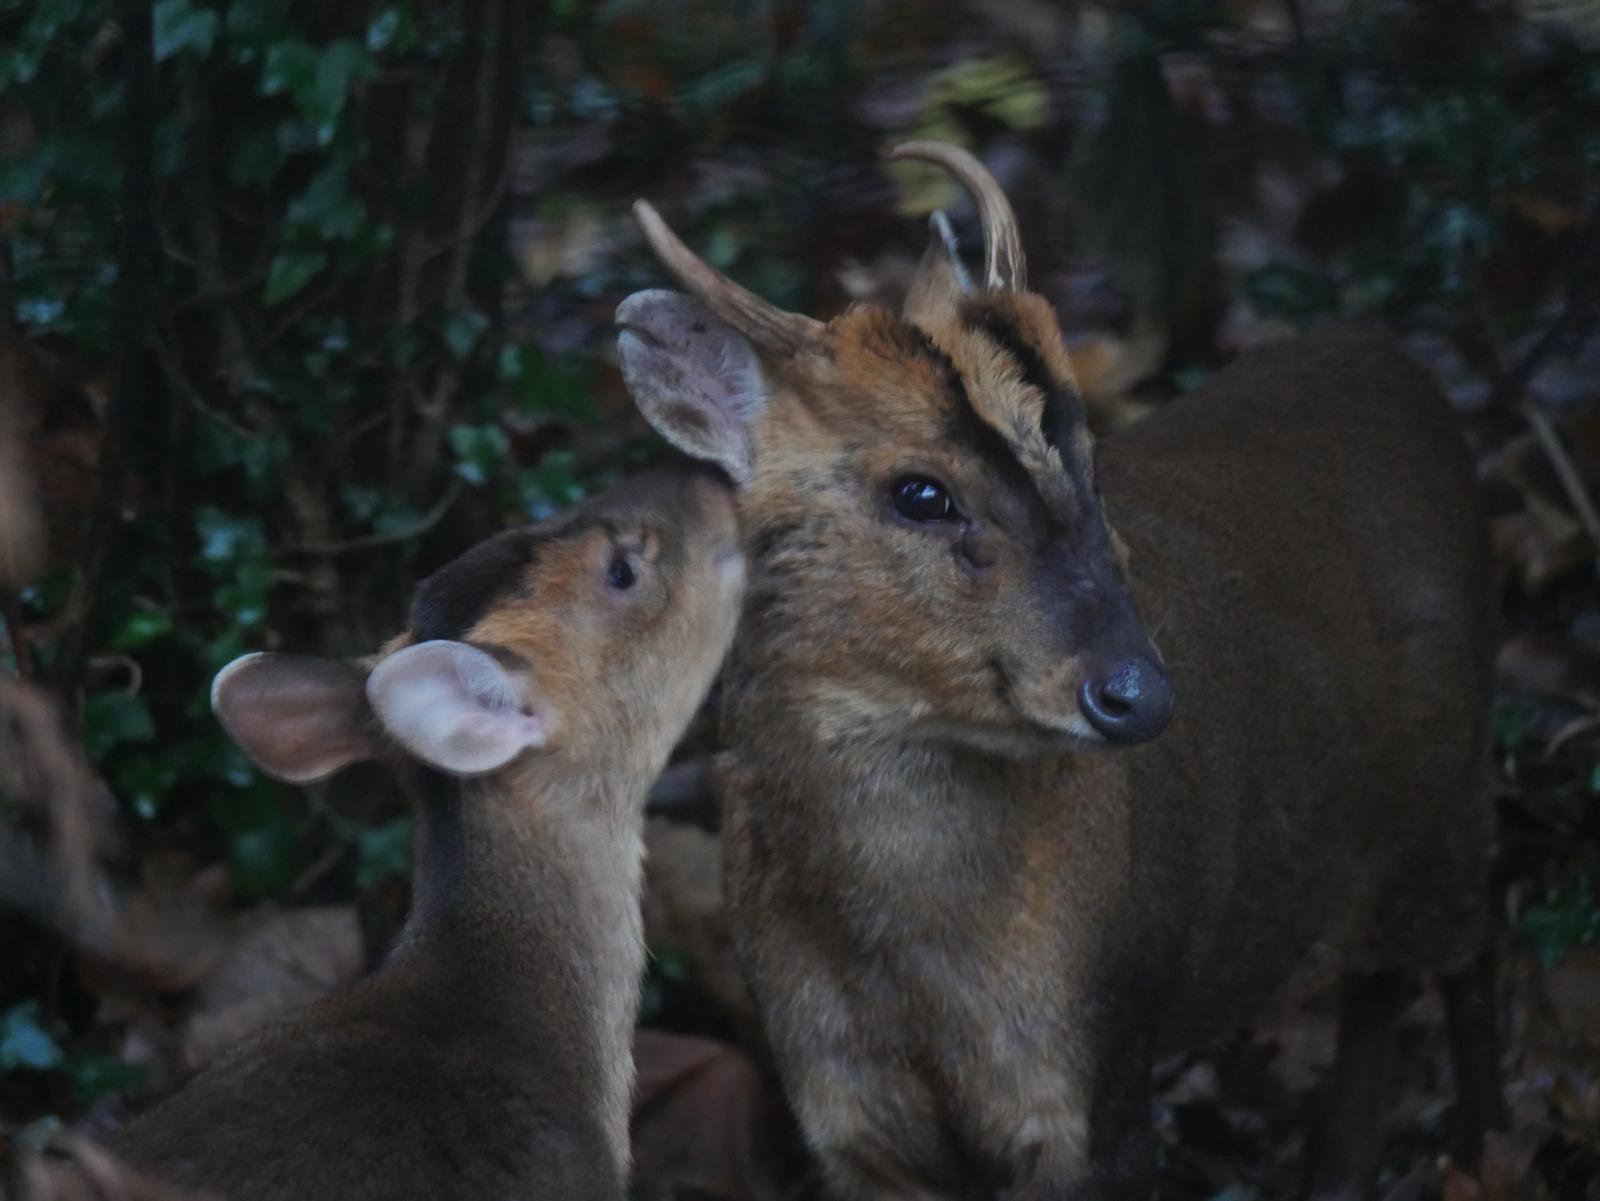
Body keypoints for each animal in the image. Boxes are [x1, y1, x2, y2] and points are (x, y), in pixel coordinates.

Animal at [614, 141, 1504, 1201]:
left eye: (1087, 454)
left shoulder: (1100, 1083)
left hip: (1455, 796)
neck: (918, 988)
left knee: (1466, 952)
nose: (1136, 691)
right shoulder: (841, 1115)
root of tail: (1402, 364)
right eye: (920, 492)